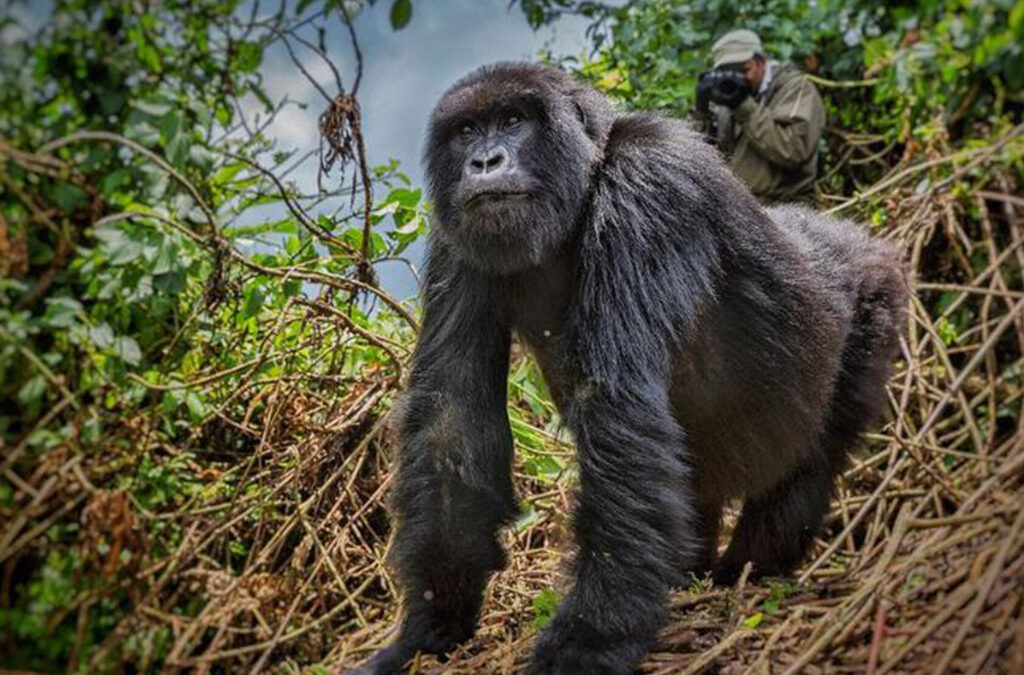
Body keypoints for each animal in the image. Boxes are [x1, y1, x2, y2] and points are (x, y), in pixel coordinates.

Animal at [349, 62, 907, 674]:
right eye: (467, 131)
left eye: (513, 121)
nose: (485, 162)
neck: (585, 179)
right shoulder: (457, 231)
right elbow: (451, 415)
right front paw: (431, 620)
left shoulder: (651, 180)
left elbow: (617, 404)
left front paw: (591, 638)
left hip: (874, 300)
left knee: (810, 460)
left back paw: (751, 571)